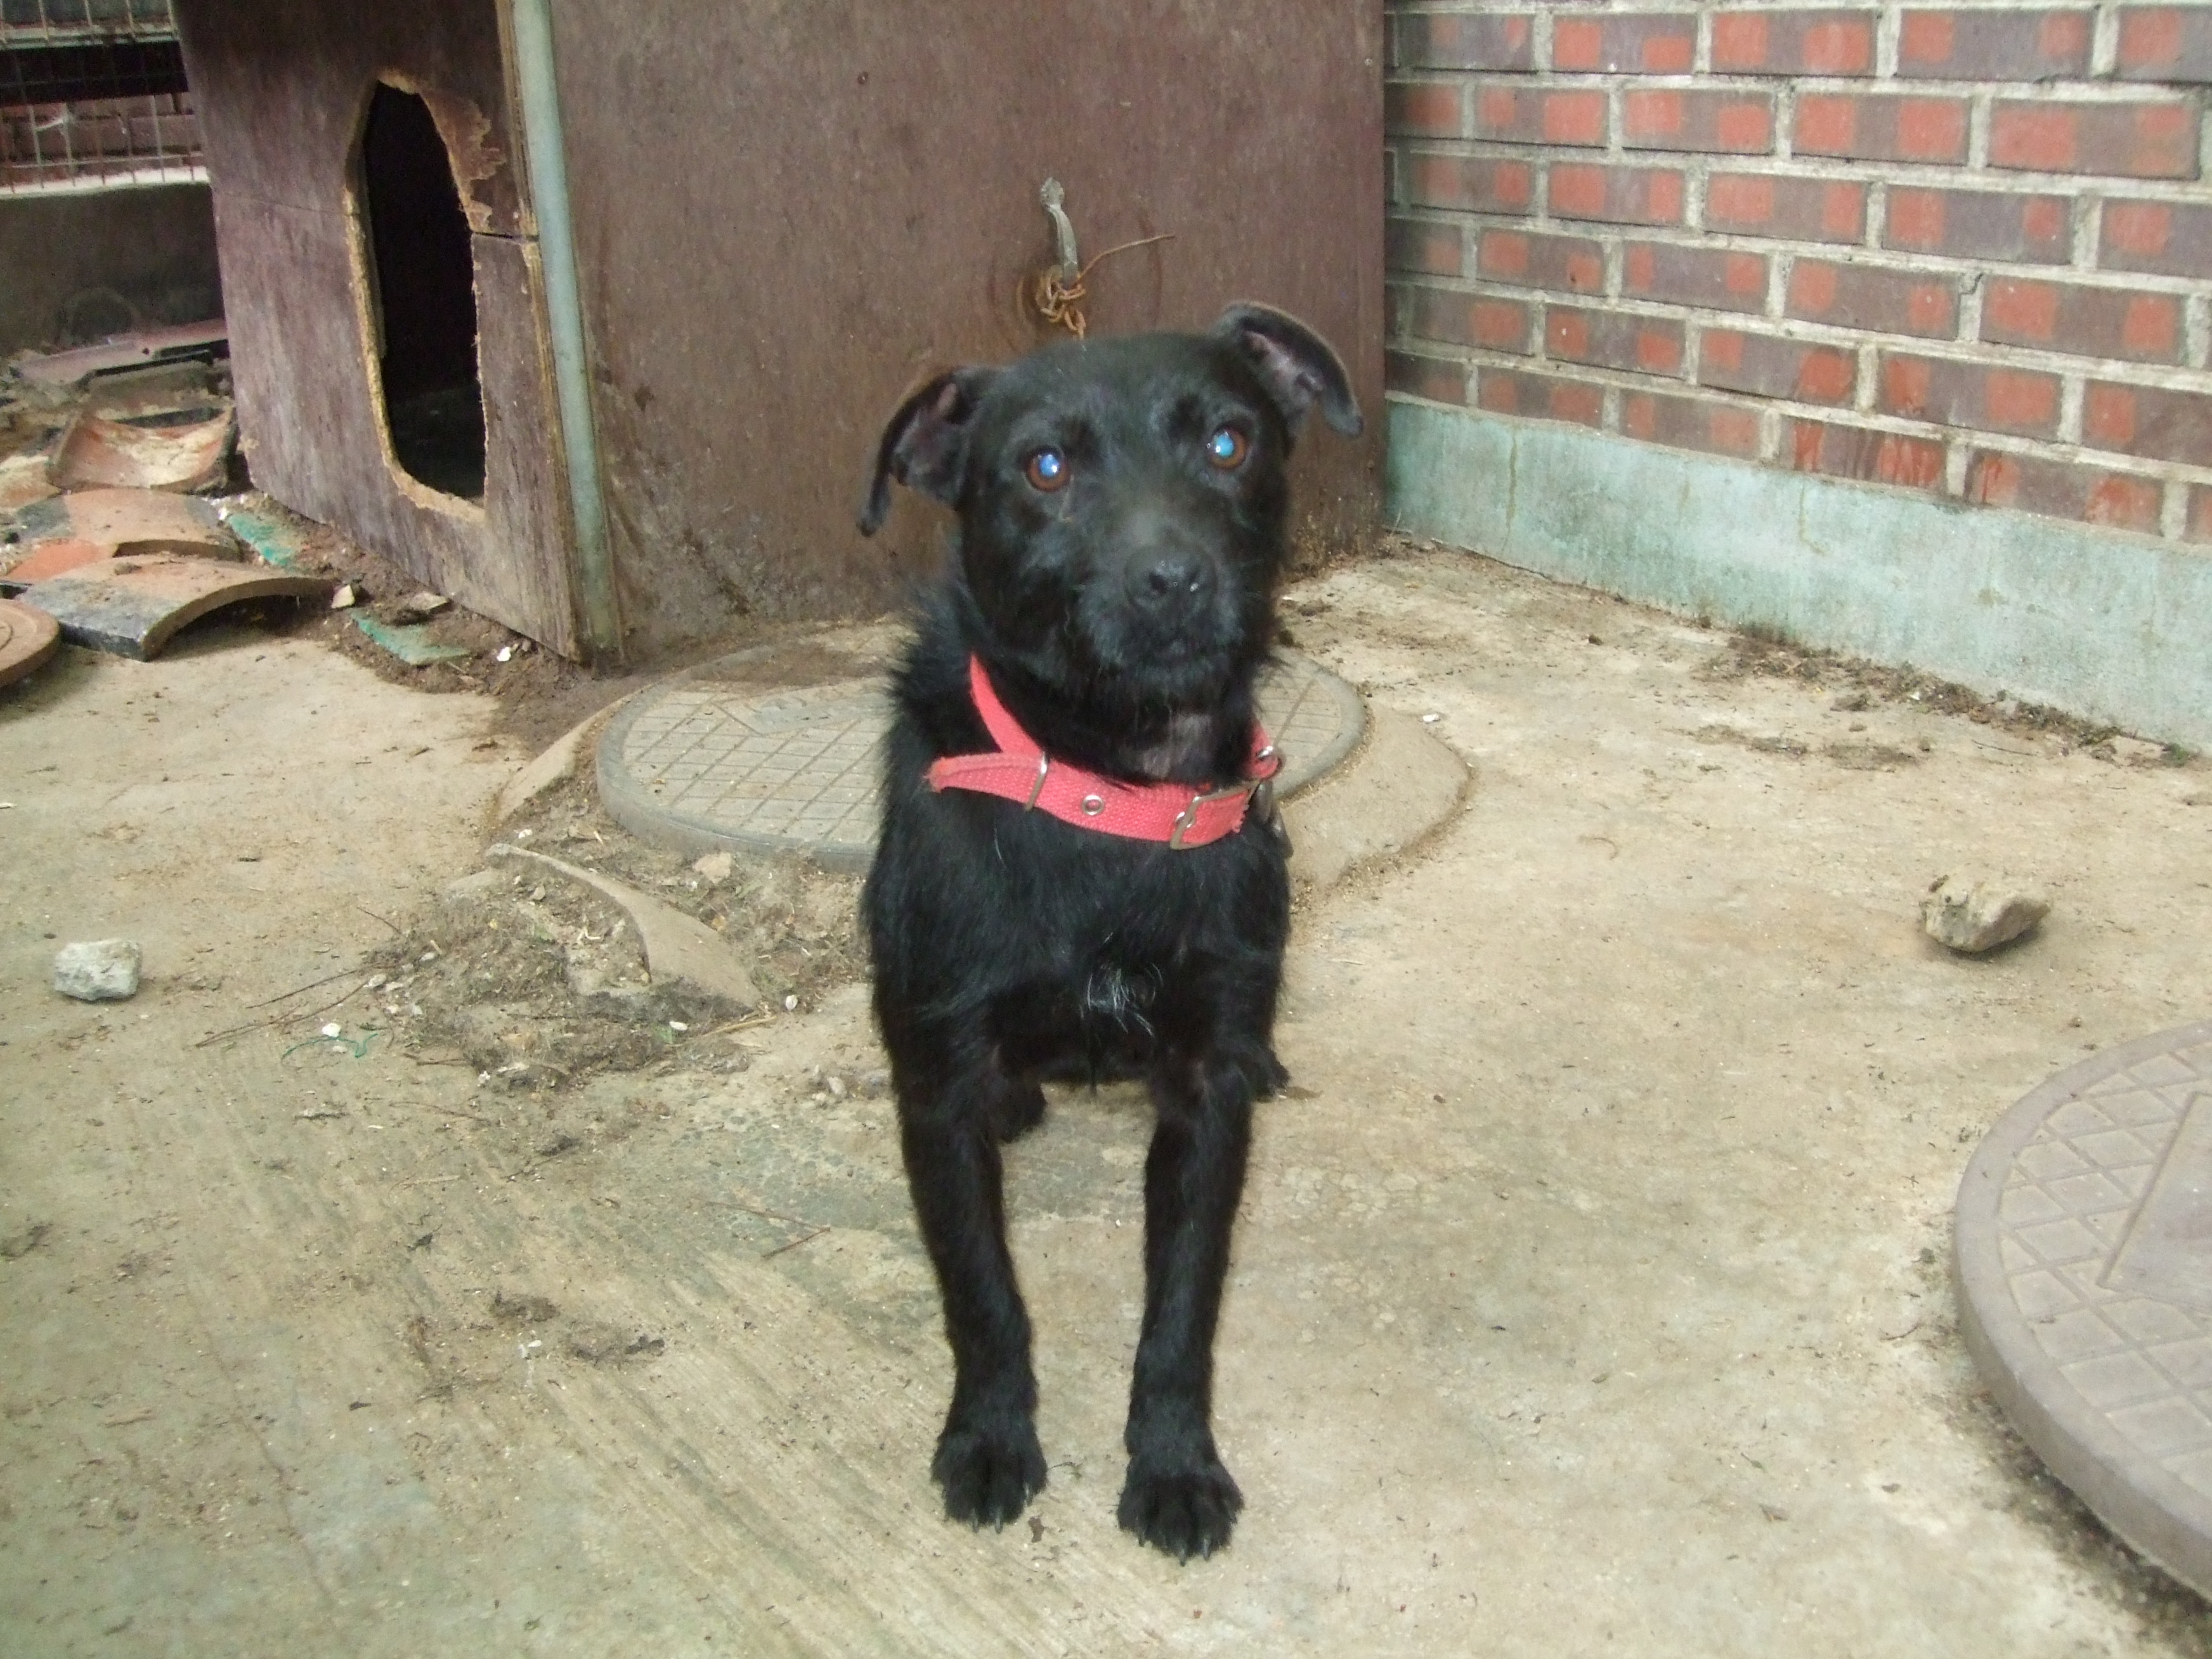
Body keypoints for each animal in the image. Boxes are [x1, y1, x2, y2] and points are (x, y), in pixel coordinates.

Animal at [855, 303, 1360, 1559]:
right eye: (1044, 467)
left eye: (1230, 442)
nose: (1172, 580)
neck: (1112, 791)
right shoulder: (935, 1090)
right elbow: (983, 1298)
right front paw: (990, 1437)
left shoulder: (1202, 1100)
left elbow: (1182, 1307)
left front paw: (1174, 1462)